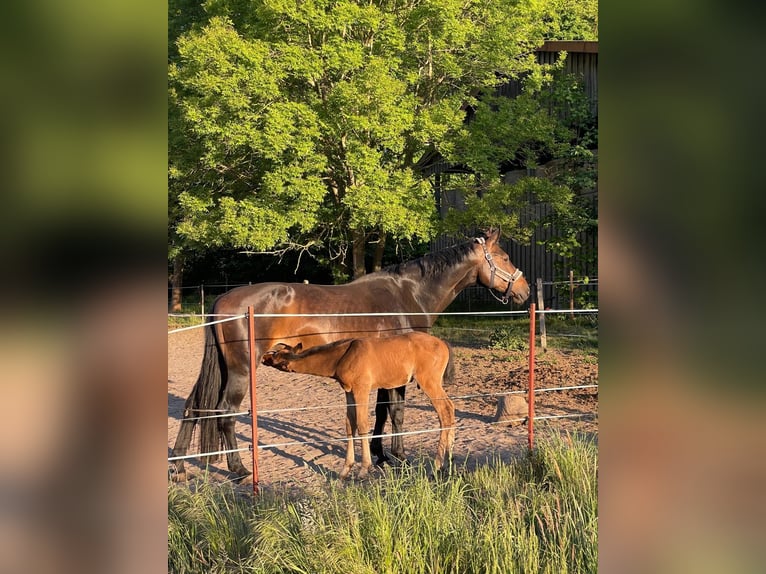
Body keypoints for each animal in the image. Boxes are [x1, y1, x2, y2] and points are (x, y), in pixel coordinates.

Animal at [262, 332, 456, 479]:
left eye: (276, 355)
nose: (264, 356)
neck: (343, 355)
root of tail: (443, 344)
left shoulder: (361, 389)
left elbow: (363, 424)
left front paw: (364, 468)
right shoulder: (349, 392)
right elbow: (350, 425)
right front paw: (345, 469)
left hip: (429, 382)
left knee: (445, 411)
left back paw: (437, 465)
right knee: (451, 410)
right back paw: (448, 463)